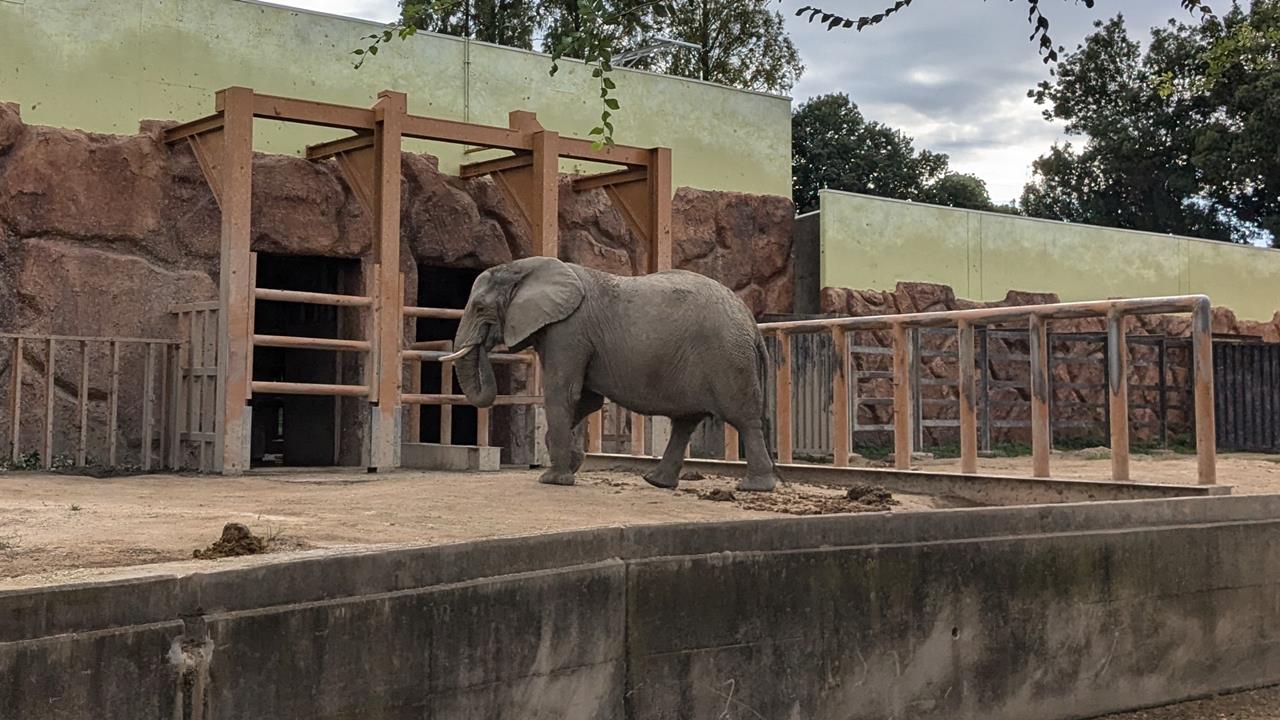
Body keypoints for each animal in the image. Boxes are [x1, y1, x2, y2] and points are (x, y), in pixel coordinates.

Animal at [445, 254, 773, 489]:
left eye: (479, 307)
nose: (485, 340)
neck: (525, 267)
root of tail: (751, 324)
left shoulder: (569, 330)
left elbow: (562, 393)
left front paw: (554, 480)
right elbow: (587, 400)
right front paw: (573, 461)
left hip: (728, 358)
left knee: (743, 419)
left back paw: (754, 487)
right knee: (685, 422)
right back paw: (657, 482)